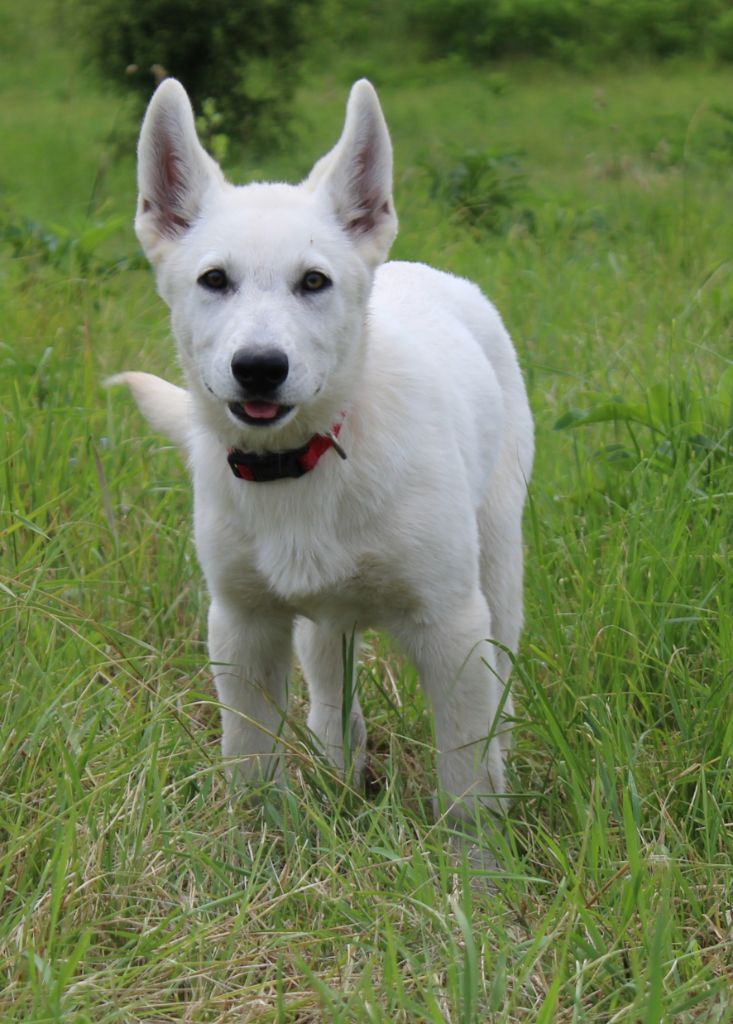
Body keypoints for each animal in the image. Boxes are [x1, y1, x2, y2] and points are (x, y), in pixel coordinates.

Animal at [116, 75, 536, 819]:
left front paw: (478, 854)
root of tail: (422, 269)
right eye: (214, 280)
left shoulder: (452, 628)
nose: (259, 367)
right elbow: (250, 764)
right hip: (324, 622)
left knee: (501, 694)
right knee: (334, 702)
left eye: (313, 281)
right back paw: (341, 778)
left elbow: (465, 778)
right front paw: (256, 843)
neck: (302, 461)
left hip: (496, 563)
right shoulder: (242, 625)